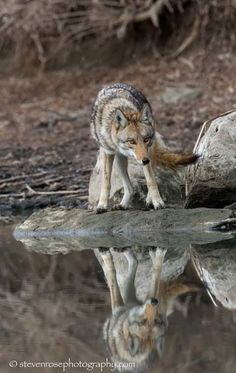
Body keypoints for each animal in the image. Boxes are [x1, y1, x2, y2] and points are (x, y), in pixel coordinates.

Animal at [90, 83, 197, 214]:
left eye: (145, 139)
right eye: (132, 141)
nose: (145, 160)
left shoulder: (147, 154)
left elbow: (151, 180)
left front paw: (157, 202)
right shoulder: (108, 152)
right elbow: (106, 182)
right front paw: (102, 205)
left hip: (148, 153)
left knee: (152, 174)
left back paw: (148, 199)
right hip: (120, 160)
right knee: (129, 186)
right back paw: (123, 204)